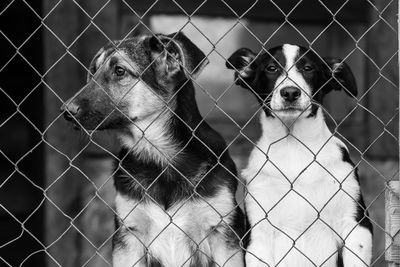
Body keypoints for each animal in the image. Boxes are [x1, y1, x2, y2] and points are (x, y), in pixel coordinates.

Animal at [61, 33, 245, 267]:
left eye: (119, 71)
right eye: (93, 71)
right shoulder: (128, 234)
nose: (65, 111)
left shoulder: (222, 229)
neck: (159, 155)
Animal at [227, 45, 374, 266]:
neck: (293, 146)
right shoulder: (258, 234)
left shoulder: (356, 225)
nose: (290, 93)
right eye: (271, 68)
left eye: (308, 68)